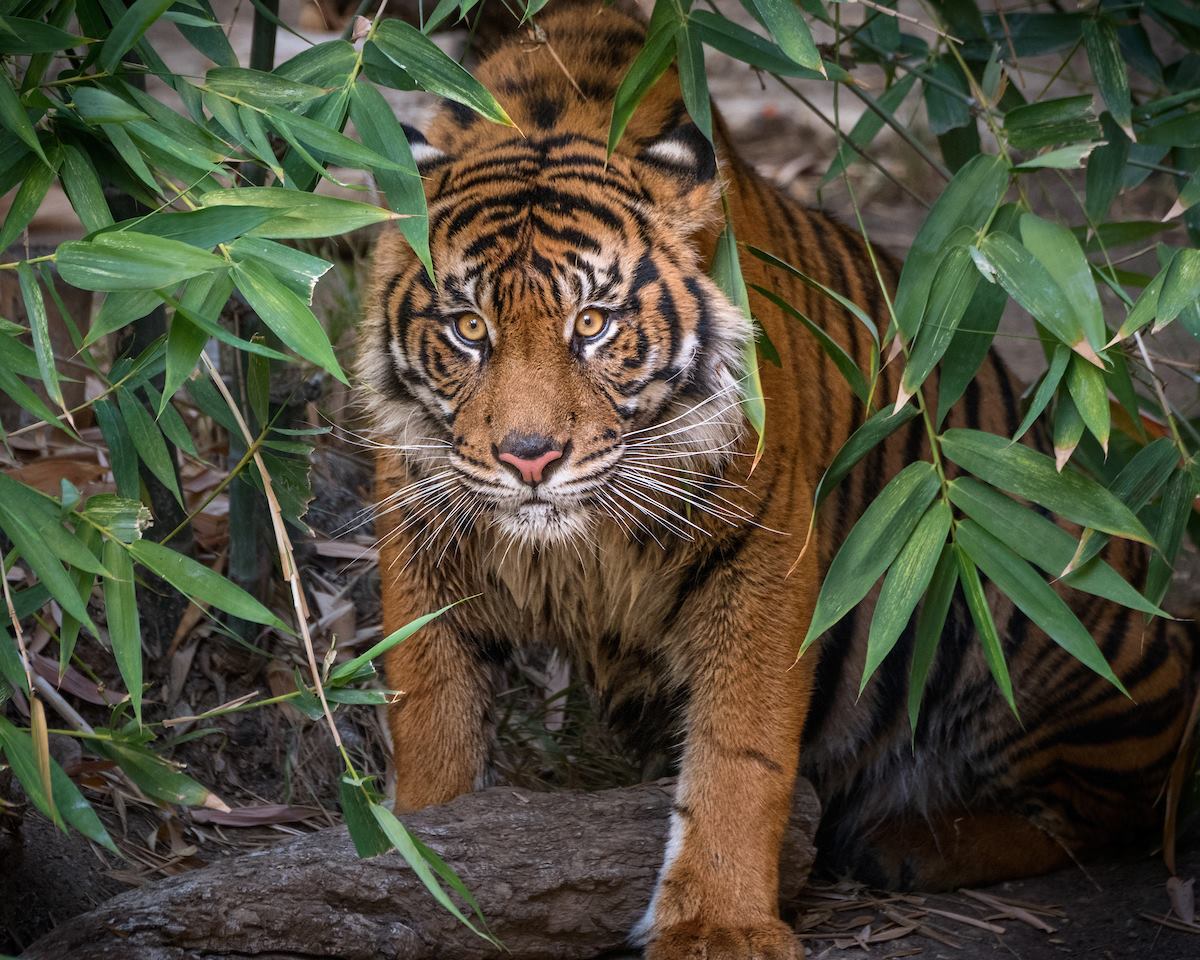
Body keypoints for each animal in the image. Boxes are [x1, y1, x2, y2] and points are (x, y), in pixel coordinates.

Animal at [357, 3, 1200, 955]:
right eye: (469, 327)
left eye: (593, 323)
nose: (527, 456)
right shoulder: (425, 535)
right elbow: (429, 709)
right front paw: (426, 870)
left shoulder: (763, 553)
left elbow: (742, 747)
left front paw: (718, 926)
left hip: (1034, 611)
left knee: (1110, 804)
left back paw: (908, 846)